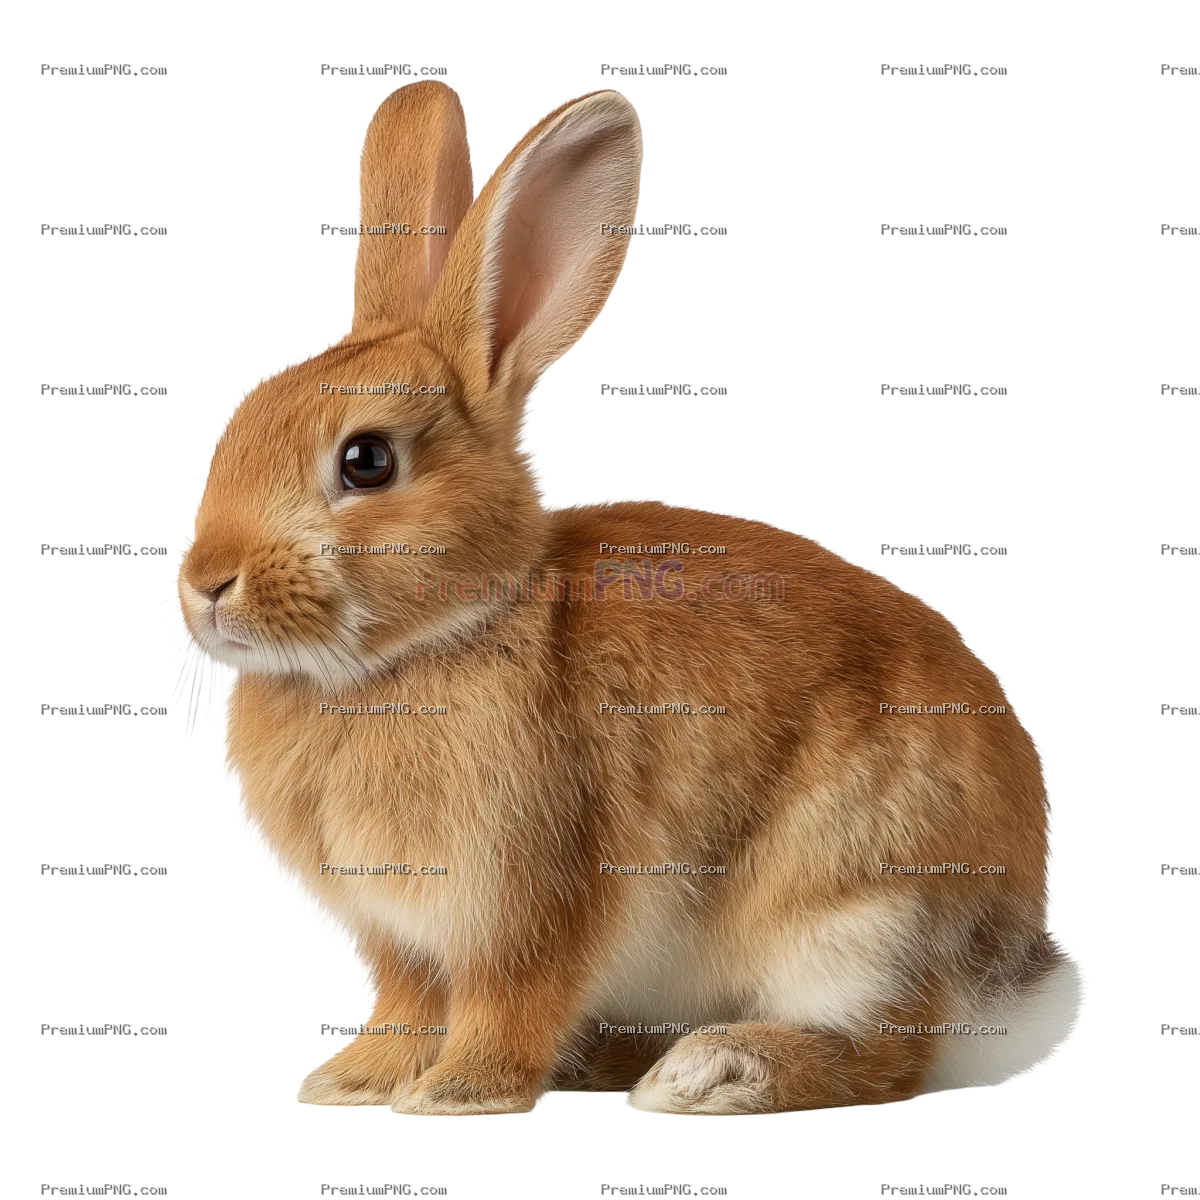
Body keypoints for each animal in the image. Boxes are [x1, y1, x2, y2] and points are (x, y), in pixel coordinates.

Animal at [177, 80, 1084, 1115]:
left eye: (366, 461)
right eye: (239, 422)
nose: (205, 583)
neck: (423, 646)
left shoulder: (532, 895)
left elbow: (512, 999)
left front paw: (460, 1094)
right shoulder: (397, 937)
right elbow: (406, 1006)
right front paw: (353, 1082)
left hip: (857, 905)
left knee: (892, 1053)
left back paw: (713, 1071)